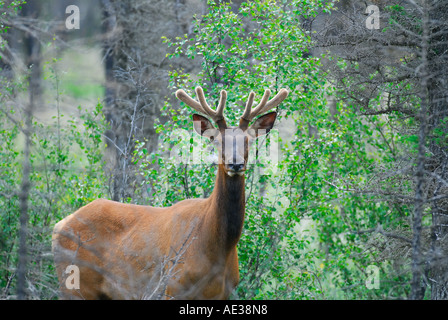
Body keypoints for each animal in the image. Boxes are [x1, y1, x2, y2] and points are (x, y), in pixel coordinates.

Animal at [51, 85, 288, 300]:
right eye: (217, 141)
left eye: (249, 140)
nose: (235, 164)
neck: (216, 249)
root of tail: (59, 225)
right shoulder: (172, 286)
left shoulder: (223, 294)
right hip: (76, 284)